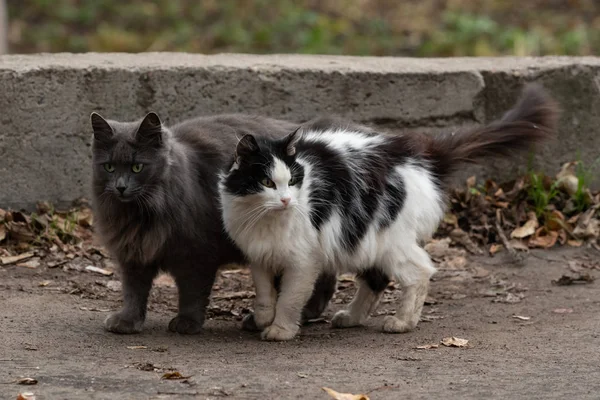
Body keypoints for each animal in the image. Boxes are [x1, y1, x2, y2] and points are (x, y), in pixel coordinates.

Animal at [90, 112, 338, 334]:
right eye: (109, 167)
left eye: (137, 167)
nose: (121, 187)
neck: (140, 214)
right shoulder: (133, 252)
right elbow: (134, 291)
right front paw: (127, 321)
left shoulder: (196, 253)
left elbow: (192, 291)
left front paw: (187, 323)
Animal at [219, 84, 556, 340]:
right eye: (266, 182)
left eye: (292, 180)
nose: (287, 200)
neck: (265, 220)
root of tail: (417, 155)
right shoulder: (260, 256)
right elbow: (265, 293)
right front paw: (263, 318)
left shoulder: (303, 261)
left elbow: (289, 298)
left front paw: (280, 330)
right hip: (364, 239)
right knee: (376, 280)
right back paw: (352, 317)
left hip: (387, 239)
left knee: (419, 272)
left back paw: (402, 322)